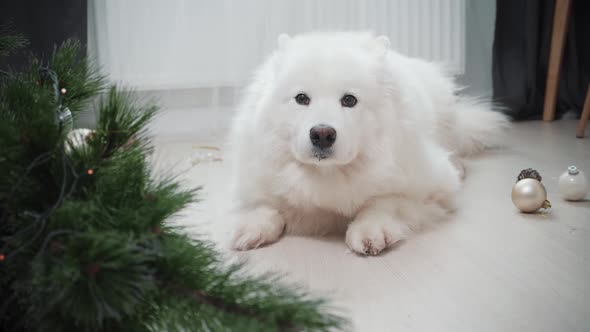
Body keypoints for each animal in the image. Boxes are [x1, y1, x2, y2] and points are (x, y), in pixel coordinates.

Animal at [227, 31, 508, 255]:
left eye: (349, 100)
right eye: (301, 98)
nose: (322, 134)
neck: (328, 175)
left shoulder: (432, 190)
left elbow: (384, 201)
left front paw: (370, 231)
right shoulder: (258, 179)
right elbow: (265, 204)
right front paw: (251, 227)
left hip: (445, 115)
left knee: (454, 145)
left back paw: (459, 166)